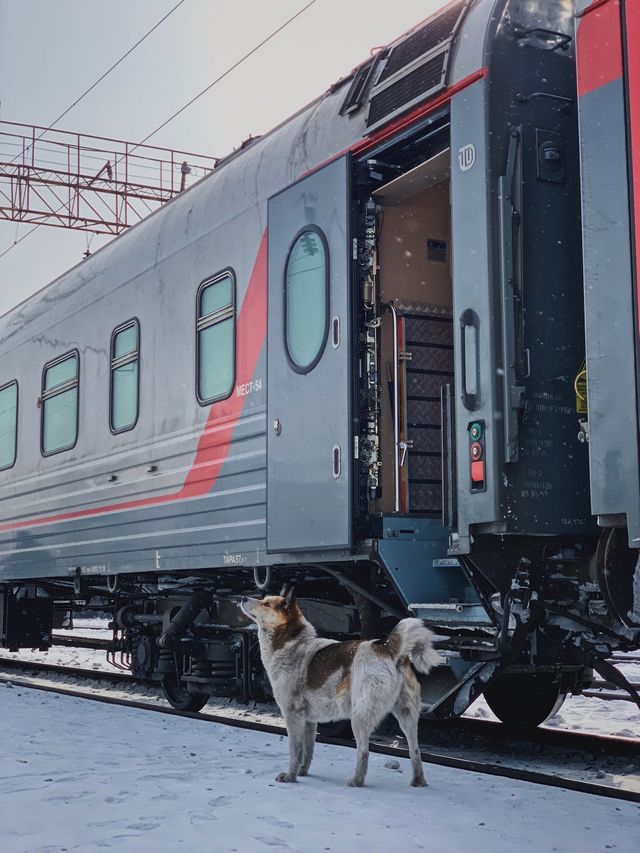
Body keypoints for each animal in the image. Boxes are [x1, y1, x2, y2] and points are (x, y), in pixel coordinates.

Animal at [238, 584, 442, 784]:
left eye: (266, 603)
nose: (242, 597)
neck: (291, 641)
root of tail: (387, 649)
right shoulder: (309, 721)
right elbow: (308, 751)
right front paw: (303, 772)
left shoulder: (292, 715)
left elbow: (295, 751)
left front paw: (290, 776)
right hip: (407, 716)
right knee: (415, 751)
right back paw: (418, 781)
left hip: (359, 716)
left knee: (364, 751)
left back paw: (356, 781)